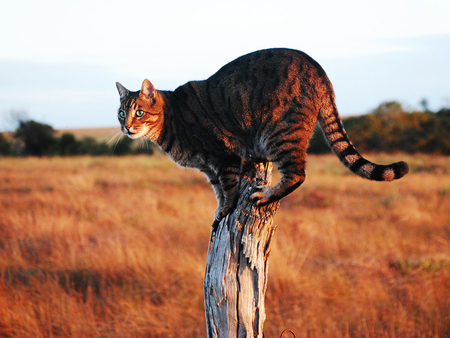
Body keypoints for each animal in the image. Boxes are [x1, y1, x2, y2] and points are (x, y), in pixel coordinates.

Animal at [115, 47, 408, 226]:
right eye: (121, 113)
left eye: (139, 112)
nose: (126, 127)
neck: (170, 122)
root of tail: (319, 69)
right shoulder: (210, 169)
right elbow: (218, 192)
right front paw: (219, 211)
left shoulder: (224, 157)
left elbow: (229, 190)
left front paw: (226, 211)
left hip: (279, 135)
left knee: (297, 175)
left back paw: (266, 196)